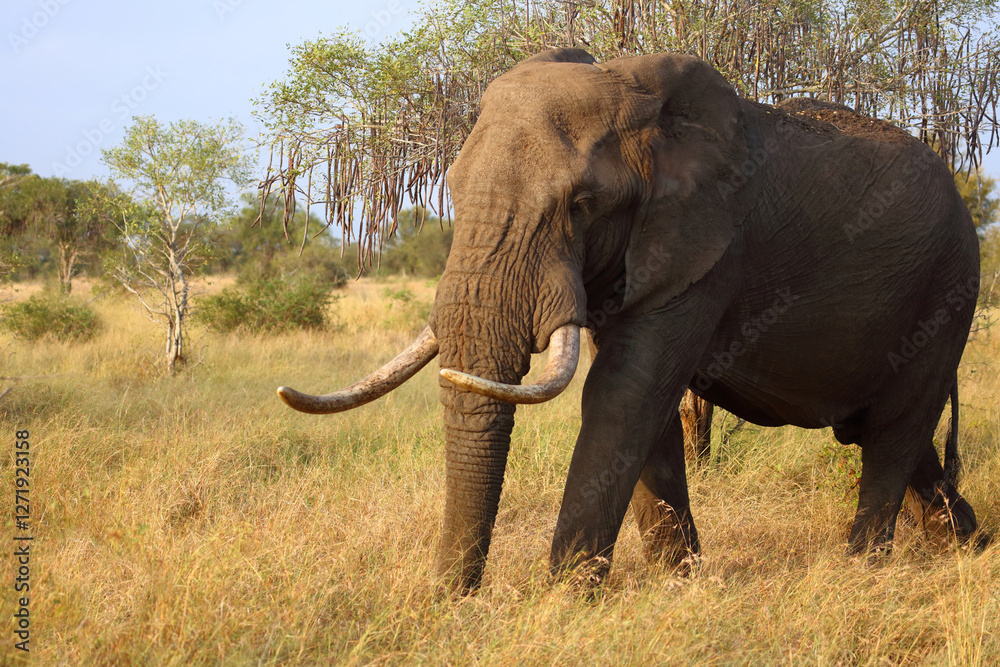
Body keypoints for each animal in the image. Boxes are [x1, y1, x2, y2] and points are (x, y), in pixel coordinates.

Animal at [276, 48, 984, 593]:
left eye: (581, 204)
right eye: (449, 189)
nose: (454, 602)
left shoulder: (708, 246)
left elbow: (626, 395)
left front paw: (564, 600)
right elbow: (645, 411)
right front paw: (680, 583)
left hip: (947, 290)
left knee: (893, 432)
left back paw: (862, 570)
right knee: (892, 438)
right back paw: (970, 547)